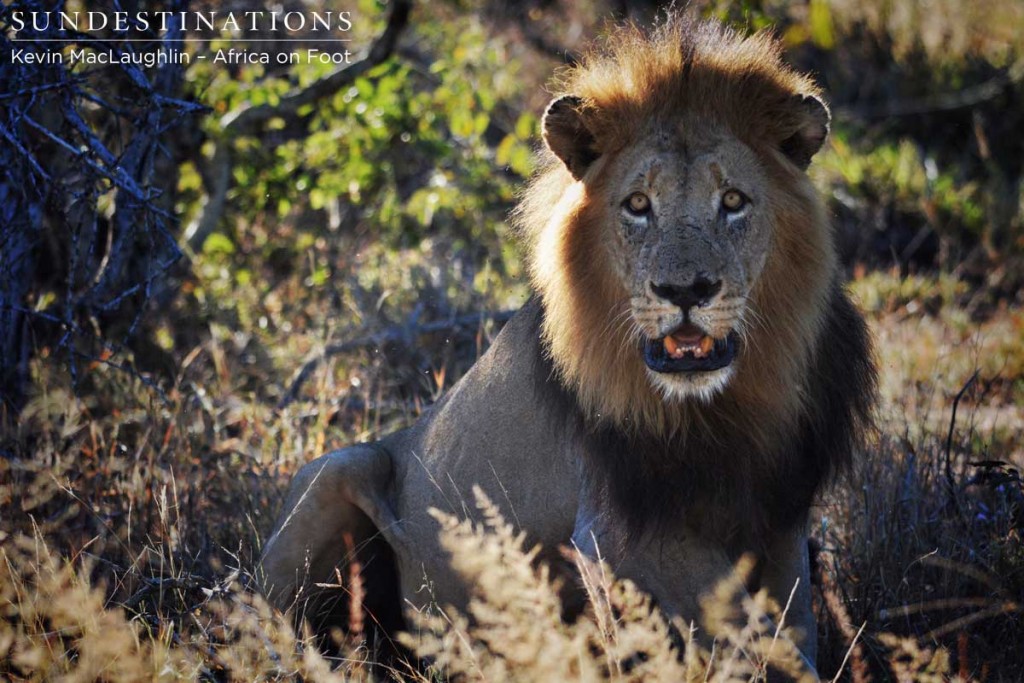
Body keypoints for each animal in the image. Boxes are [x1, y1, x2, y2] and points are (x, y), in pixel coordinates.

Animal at [260, 13, 876, 675]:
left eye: (733, 201)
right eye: (639, 205)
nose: (686, 290)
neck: (728, 408)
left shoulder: (781, 510)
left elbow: (790, 629)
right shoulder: (618, 534)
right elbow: (742, 634)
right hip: (343, 466)